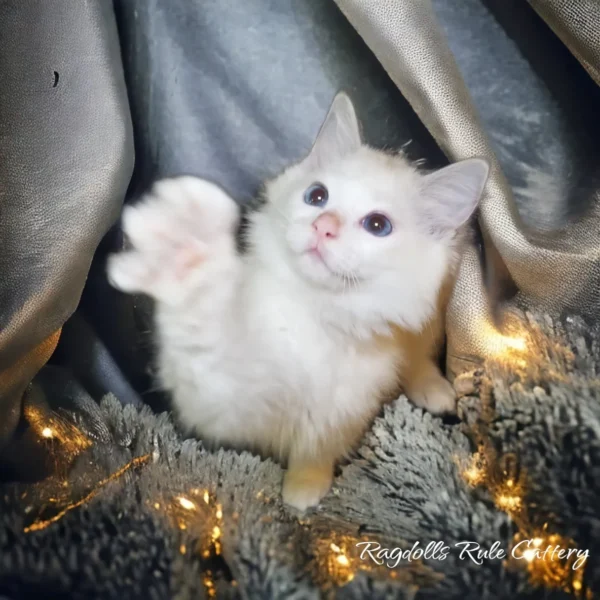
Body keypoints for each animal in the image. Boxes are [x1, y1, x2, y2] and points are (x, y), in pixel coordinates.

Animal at [108, 91, 490, 508]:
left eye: (378, 225)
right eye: (317, 196)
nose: (323, 226)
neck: (316, 311)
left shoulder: (346, 404)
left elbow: (319, 446)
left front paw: (304, 486)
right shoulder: (226, 409)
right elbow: (211, 349)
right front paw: (184, 249)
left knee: (420, 352)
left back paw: (433, 388)